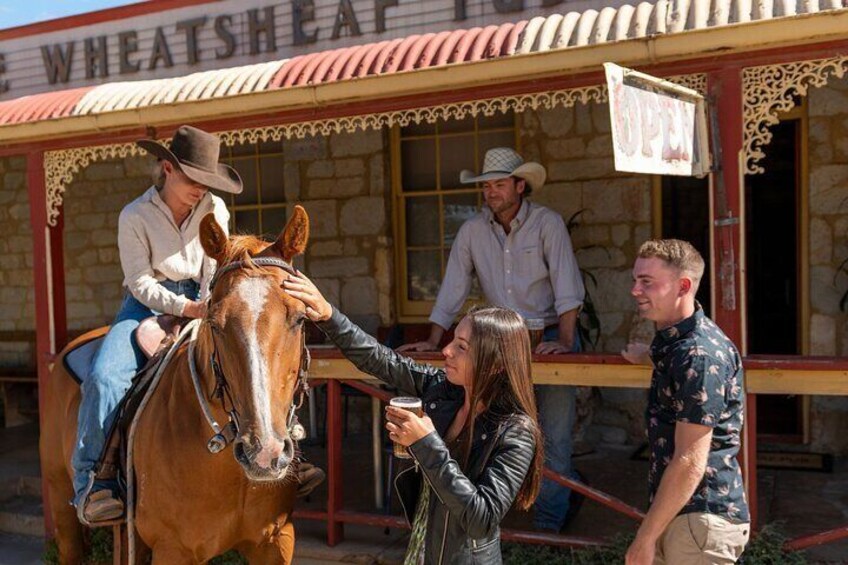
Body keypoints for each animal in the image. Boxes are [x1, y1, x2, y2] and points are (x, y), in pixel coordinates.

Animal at [39, 205, 312, 560]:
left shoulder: (275, 541)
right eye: (214, 322)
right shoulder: (173, 549)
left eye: (301, 318)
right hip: (61, 503)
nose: (264, 453)